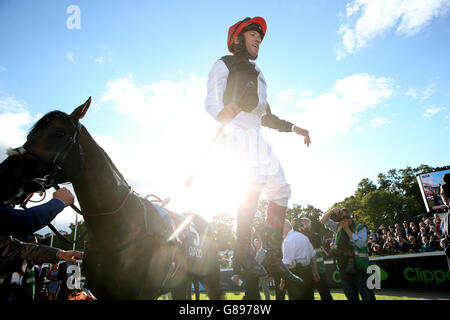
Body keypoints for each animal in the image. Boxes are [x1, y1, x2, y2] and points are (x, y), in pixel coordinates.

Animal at [0, 97, 221, 300]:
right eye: (30, 135)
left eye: (59, 133)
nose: (6, 176)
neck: (116, 229)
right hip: (181, 283)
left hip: (209, 278)